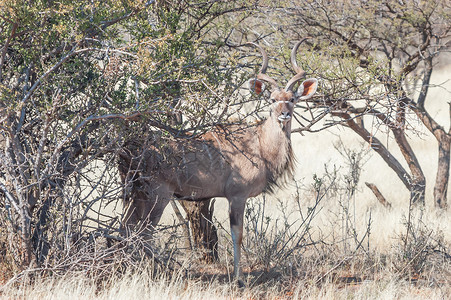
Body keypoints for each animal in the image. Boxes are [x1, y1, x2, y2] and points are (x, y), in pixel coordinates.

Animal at [118, 39, 320, 286]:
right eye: (272, 100)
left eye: (292, 99)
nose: (284, 114)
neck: (260, 143)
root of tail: (129, 151)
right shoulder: (237, 196)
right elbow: (237, 234)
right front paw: (239, 279)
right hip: (157, 195)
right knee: (144, 232)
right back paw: (151, 273)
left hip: (136, 195)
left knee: (126, 227)